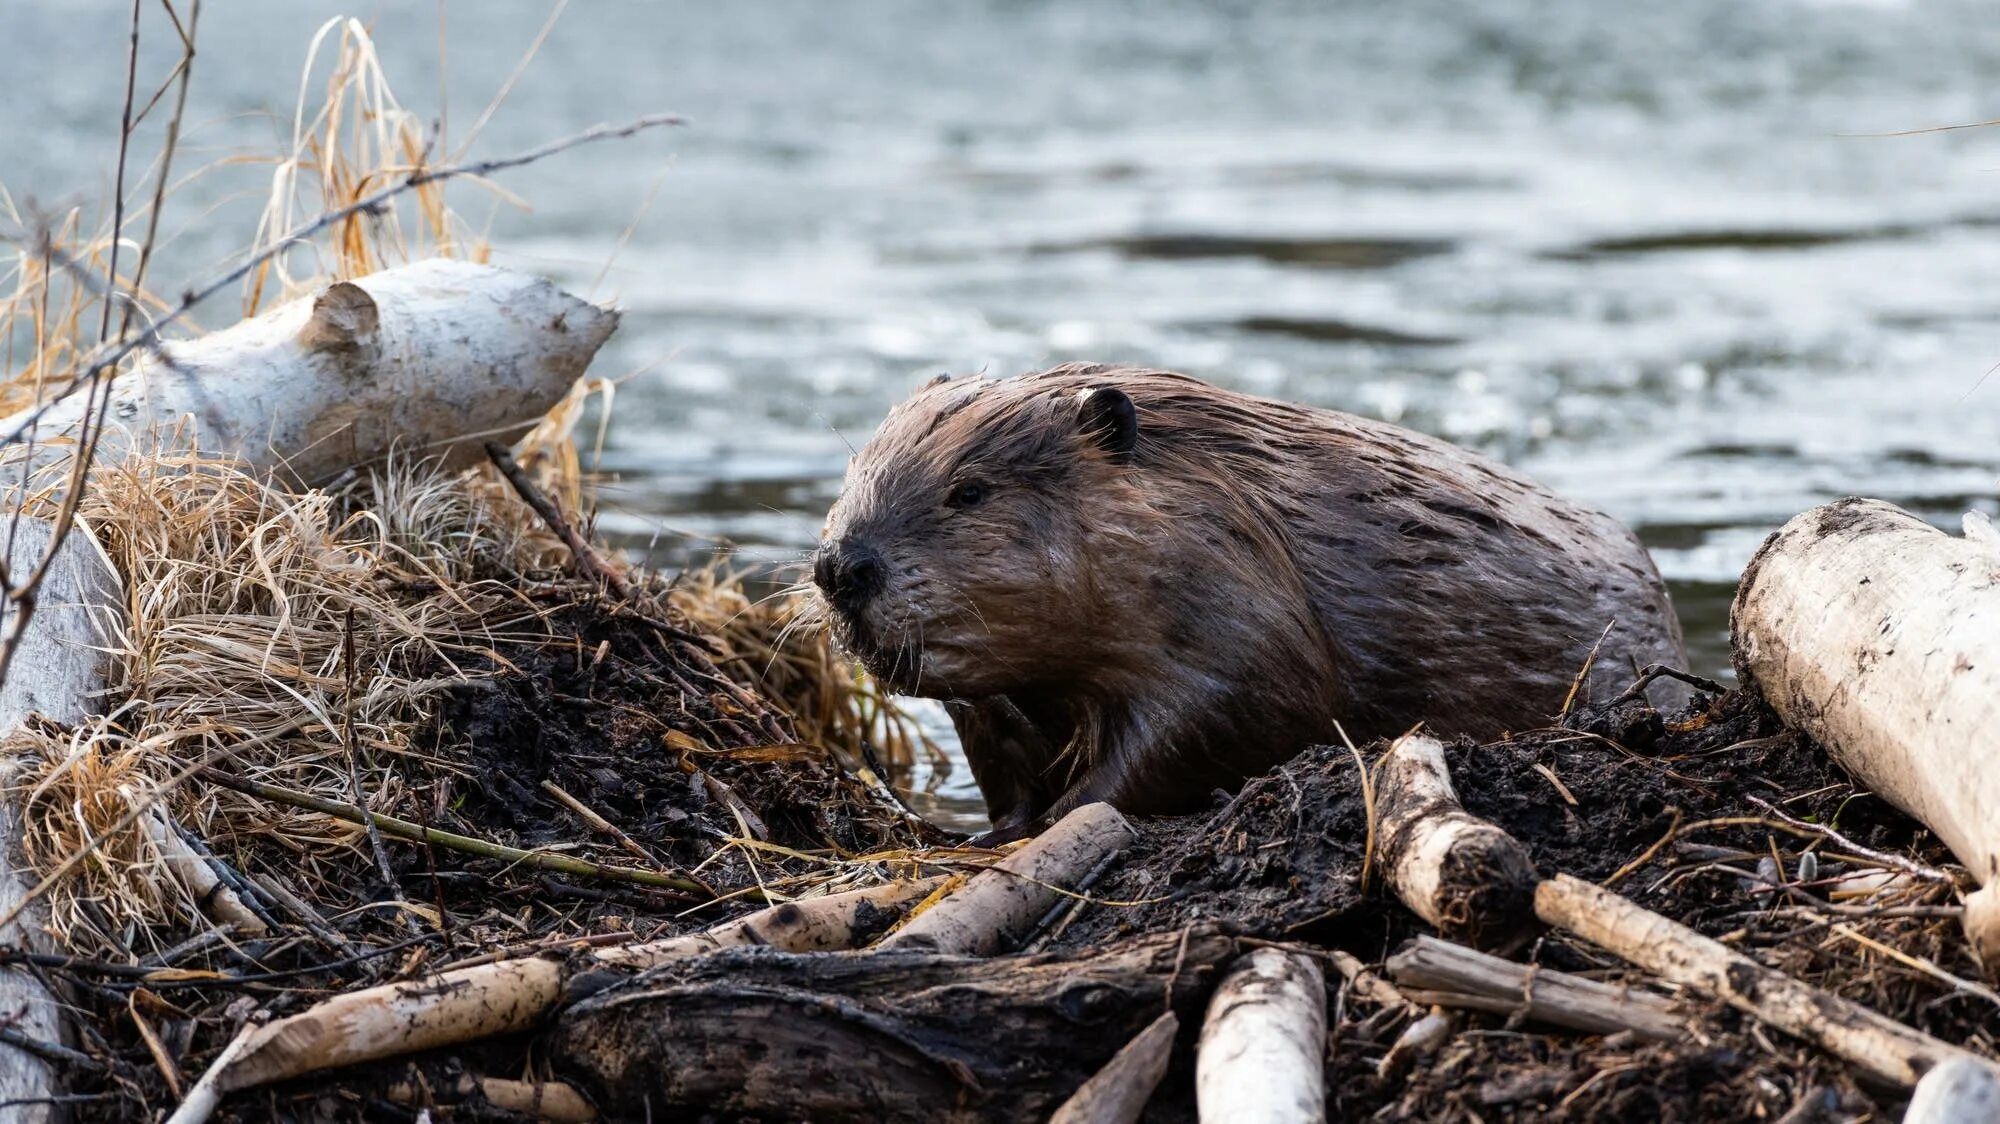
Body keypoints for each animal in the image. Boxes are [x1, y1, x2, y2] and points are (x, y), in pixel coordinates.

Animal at [804, 364, 1680, 836]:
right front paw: (994, 832)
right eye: (852, 474)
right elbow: (1000, 756)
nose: (841, 567)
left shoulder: (1240, 621)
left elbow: (1203, 724)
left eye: (970, 490)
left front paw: (1055, 823)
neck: (1225, 502)